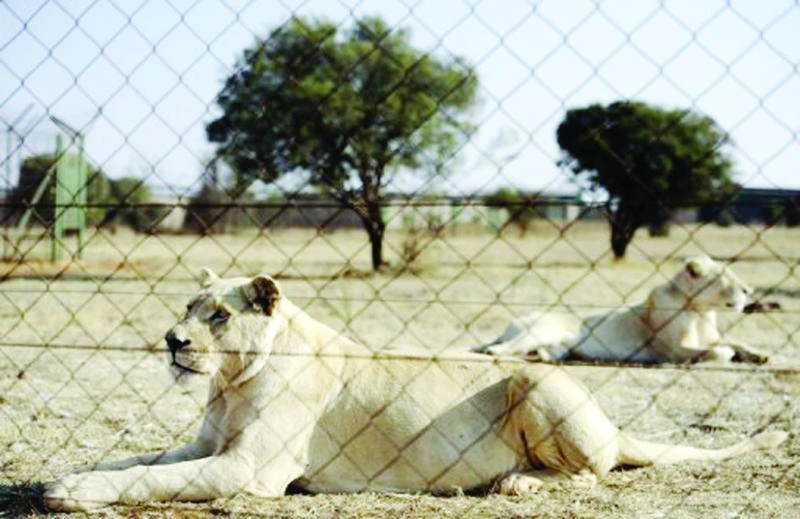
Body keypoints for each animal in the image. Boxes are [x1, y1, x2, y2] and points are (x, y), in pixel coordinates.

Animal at [44, 268, 787, 511]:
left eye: (219, 315)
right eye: (188, 307)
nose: (173, 340)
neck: (230, 384)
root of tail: (611, 420)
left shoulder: (247, 469)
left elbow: (148, 479)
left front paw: (73, 493)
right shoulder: (205, 446)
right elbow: (135, 461)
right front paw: (66, 476)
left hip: (538, 379)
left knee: (592, 472)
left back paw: (517, 482)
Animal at [477, 255, 771, 364]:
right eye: (722, 276)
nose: (749, 290)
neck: (699, 311)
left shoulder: (708, 338)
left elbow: (734, 341)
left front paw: (760, 354)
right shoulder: (674, 351)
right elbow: (721, 350)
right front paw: (732, 355)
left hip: (558, 347)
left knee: (541, 352)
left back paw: (539, 356)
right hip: (541, 329)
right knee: (508, 345)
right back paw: (495, 351)